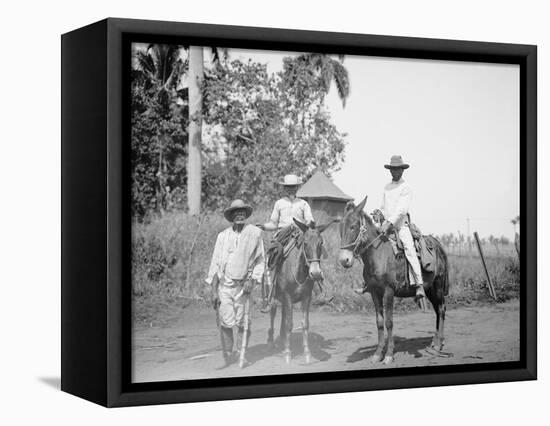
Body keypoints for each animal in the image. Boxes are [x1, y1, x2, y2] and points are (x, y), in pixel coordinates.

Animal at [268, 220, 332, 362]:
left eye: (321, 243)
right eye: (305, 243)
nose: (316, 273)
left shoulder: (306, 297)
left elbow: (304, 324)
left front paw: (307, 353)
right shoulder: (287, 296)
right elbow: (289, 324)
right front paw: (288, 353)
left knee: (283, 315)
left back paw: (282, 339)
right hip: (274, 296)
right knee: (273, 312)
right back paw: (271, 342)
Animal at [338, 197, 450, 366]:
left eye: (353, 227)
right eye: (340, 228)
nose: (344, 260)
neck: (379, 255)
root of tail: (438, 245)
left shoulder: (389, 292)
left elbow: (389, 322)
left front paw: (389, 355)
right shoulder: (374, 293)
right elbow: (379, 322)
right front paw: (378, 354)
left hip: (437, 286)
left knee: (442, 309)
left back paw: (438, 345)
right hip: (429, 289)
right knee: (438, 310)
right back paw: (435, 342)